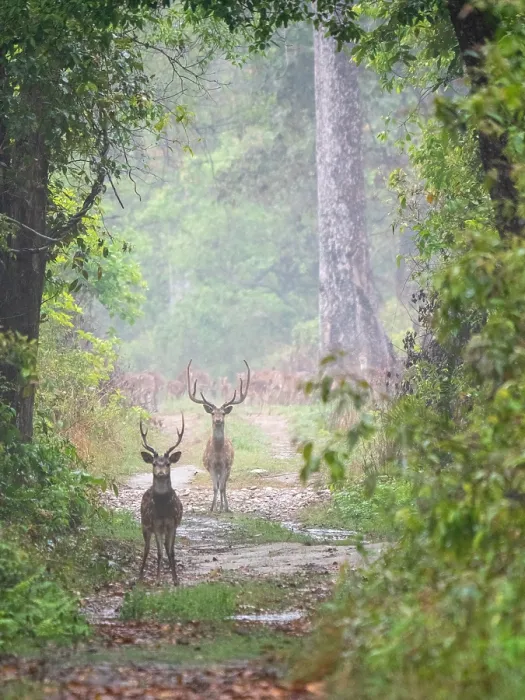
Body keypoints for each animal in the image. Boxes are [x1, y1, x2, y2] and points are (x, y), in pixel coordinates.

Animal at [138, 415, 185, 585]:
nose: (161, 473)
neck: (164, 510)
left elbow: (171, 551)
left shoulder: (173, 524)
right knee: (146, 549)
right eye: (154, 463)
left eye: (168, 463)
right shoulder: (156, 524)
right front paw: (158, 580)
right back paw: (140, 575)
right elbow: (158, 553)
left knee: (166, 547)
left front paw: (176, 579)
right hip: (144, 525)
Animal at [187, 360, 250, 513]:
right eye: (212, 413)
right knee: (219, 485)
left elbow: (221, 487)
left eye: (223, 413)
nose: (218, 420)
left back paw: (225, 507)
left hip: (229, 467)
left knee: (224, 486)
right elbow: (215, 487)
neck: (218, 452)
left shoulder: (226, 465)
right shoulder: (210, 466)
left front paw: (223, 508)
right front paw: (212, 508)